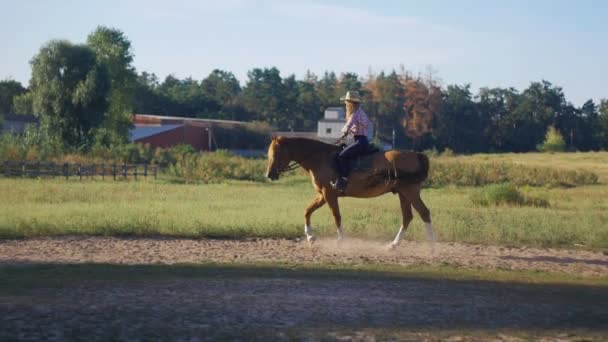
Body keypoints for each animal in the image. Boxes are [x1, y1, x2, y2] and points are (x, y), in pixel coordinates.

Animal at [266, 136, 436, 248]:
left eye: (276, 154)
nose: (269, 174)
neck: (320, 158)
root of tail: (416, 155)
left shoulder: (329, 194)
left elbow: (336, 216)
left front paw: (341, 239)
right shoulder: (322, 195)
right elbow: (307, 211)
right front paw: (310, 237)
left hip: (410, 192)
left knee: (424, 212)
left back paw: (432, 245)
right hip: (403, 194)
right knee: (407, 216)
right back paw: (393, 245)